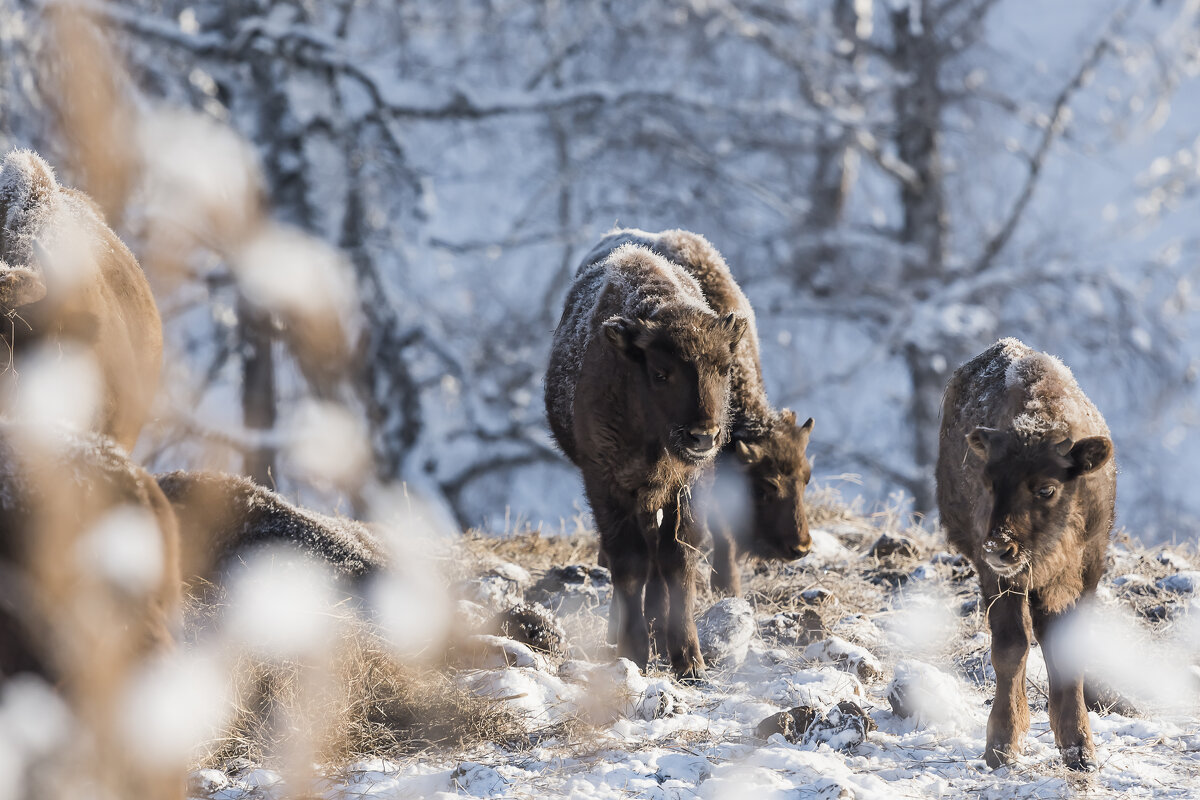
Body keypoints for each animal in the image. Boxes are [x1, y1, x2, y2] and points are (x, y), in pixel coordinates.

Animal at [547, 239, 748, 681]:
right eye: (660, 373)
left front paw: (689, 659)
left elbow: (678, 559)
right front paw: (634, 650)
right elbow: (629, 562)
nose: (703, 436)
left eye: (724, 368)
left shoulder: (689, 485)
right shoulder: (606, 481)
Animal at [936, 340, 1113, 777]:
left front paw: (1080, 749)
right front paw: (1001, 745)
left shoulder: (1086, 573)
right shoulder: (999, 579)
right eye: (987, 482)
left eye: (1046, 488)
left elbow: (1067, 649)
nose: (999, 547)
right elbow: (1010, 647)